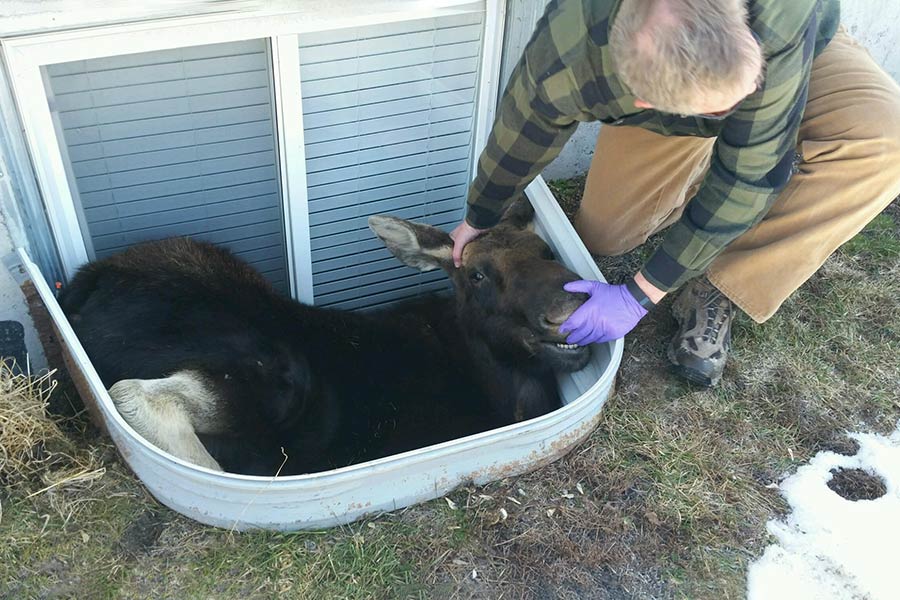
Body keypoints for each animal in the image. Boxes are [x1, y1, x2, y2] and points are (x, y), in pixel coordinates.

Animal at [63, 200, 596, 474]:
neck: (509, 386)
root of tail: (84, 284)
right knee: (135, 396)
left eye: (546, 250)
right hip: (278, 374)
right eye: (478, 275)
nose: (567, 310)